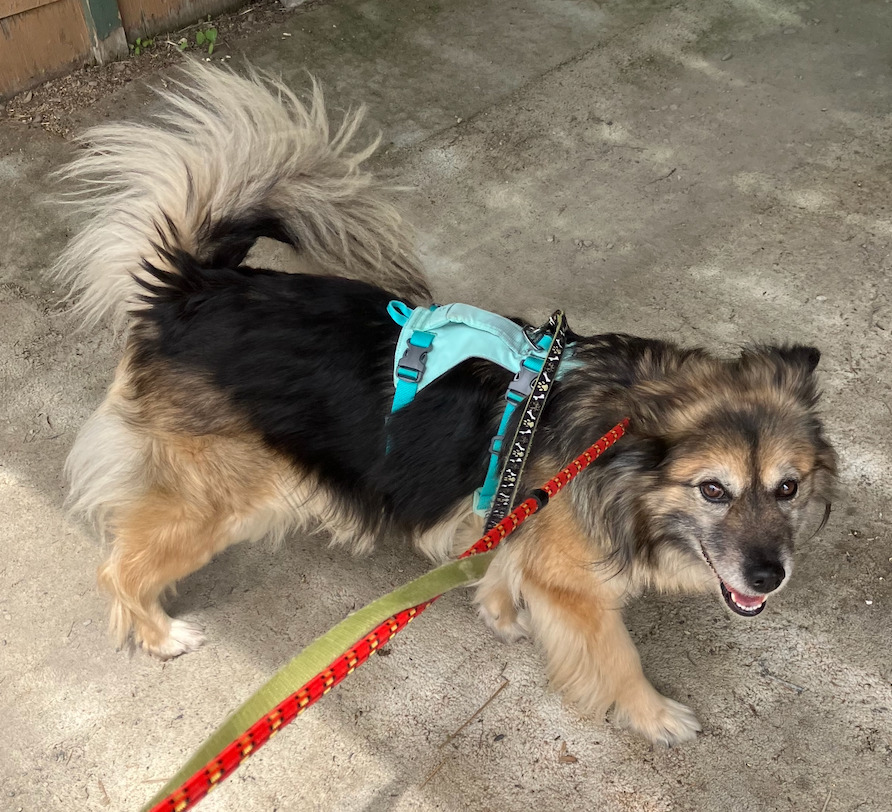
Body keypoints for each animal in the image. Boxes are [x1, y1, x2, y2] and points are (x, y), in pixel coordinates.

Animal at [55, 65, 836, 748]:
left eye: (788, 488)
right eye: (713, 490)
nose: (770, 577)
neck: (616, 445)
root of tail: (191, 287)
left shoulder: (517, 517)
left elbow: (503, 564)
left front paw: (498, 608)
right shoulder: (576, 587)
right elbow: (617, 656)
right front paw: (655, 716)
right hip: (218, 502)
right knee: (117, 568)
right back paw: (159, 634)